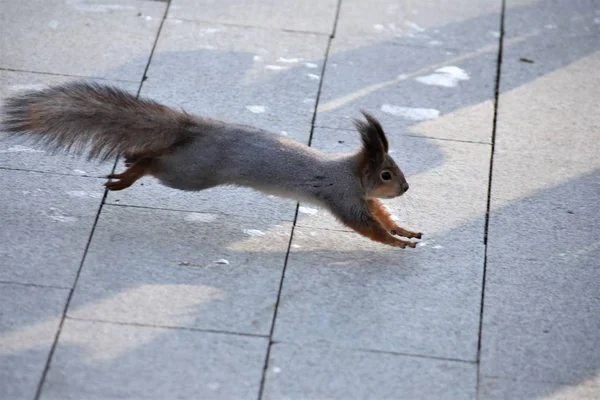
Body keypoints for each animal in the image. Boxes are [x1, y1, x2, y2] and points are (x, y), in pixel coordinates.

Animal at [1, 81, 422, 248]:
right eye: (386, 173)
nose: (405, 188)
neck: (350, 173)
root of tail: (195, 129)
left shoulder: (363, 199)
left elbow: (382, 216)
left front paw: (404, 230)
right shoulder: (343, 197)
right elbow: (367, 227)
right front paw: (395, 243)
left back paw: (126, 165)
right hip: (189, 173)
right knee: (152, 162)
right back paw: (130, 171)